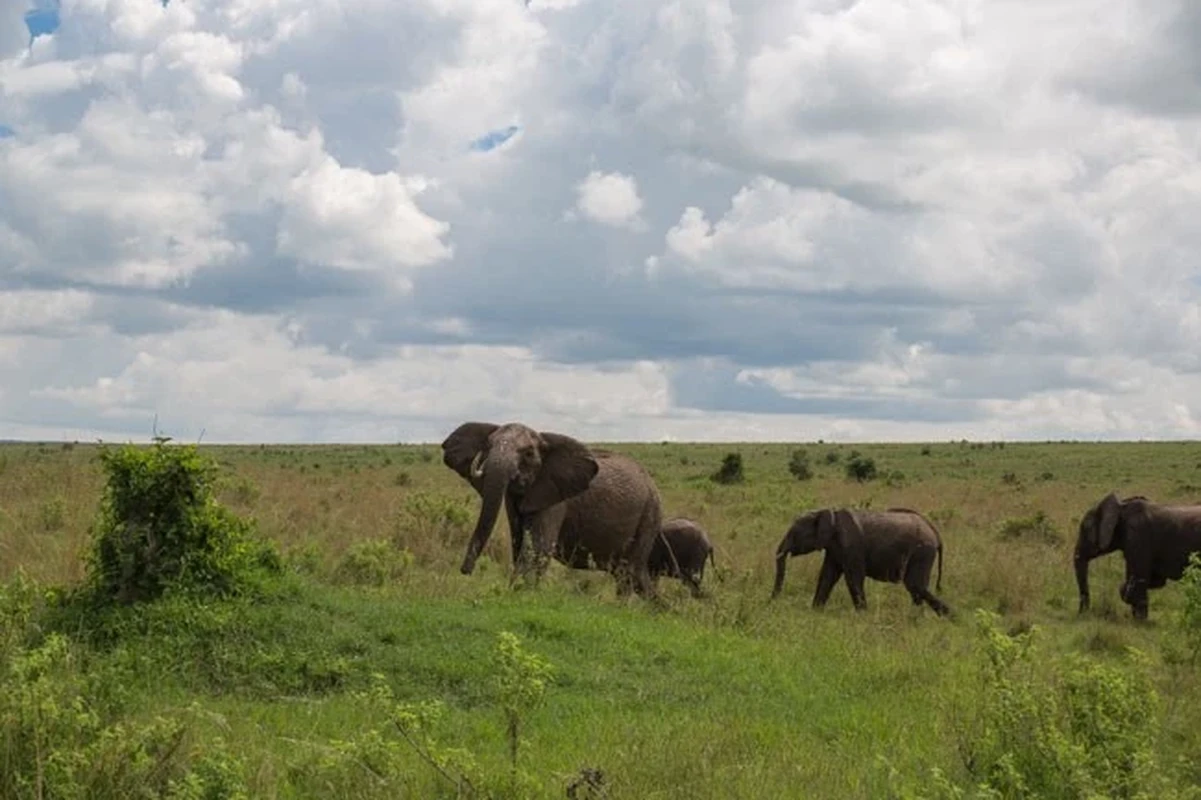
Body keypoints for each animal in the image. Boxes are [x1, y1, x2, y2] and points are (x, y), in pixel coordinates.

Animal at [444, 420, 667, 595]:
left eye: (528, 453)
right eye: (488, 445)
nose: (465, 570)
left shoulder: (555, 497)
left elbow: (537, 548)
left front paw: (519, 595)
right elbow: (519, 543)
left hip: (650, 514)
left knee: (630, 572)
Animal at [768, 504, 946, 615]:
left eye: (794, 533)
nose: (772, 602)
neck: (829, 513)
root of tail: (935, 532)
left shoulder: (851, 546)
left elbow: (853, 579)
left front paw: (862, 616)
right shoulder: (834, 549)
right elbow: (827, 576)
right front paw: (815, 612)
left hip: (921, 552)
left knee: (915, 585)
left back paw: (948, 616)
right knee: (917, 588)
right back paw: (917, 618)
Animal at [1076, 490, 1201, 619]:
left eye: (1084, 529)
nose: (1082, 614)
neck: (1121, 507)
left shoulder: (1137, 535)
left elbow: (1138, 578)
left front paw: (1139, 620)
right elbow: (1154, 580)